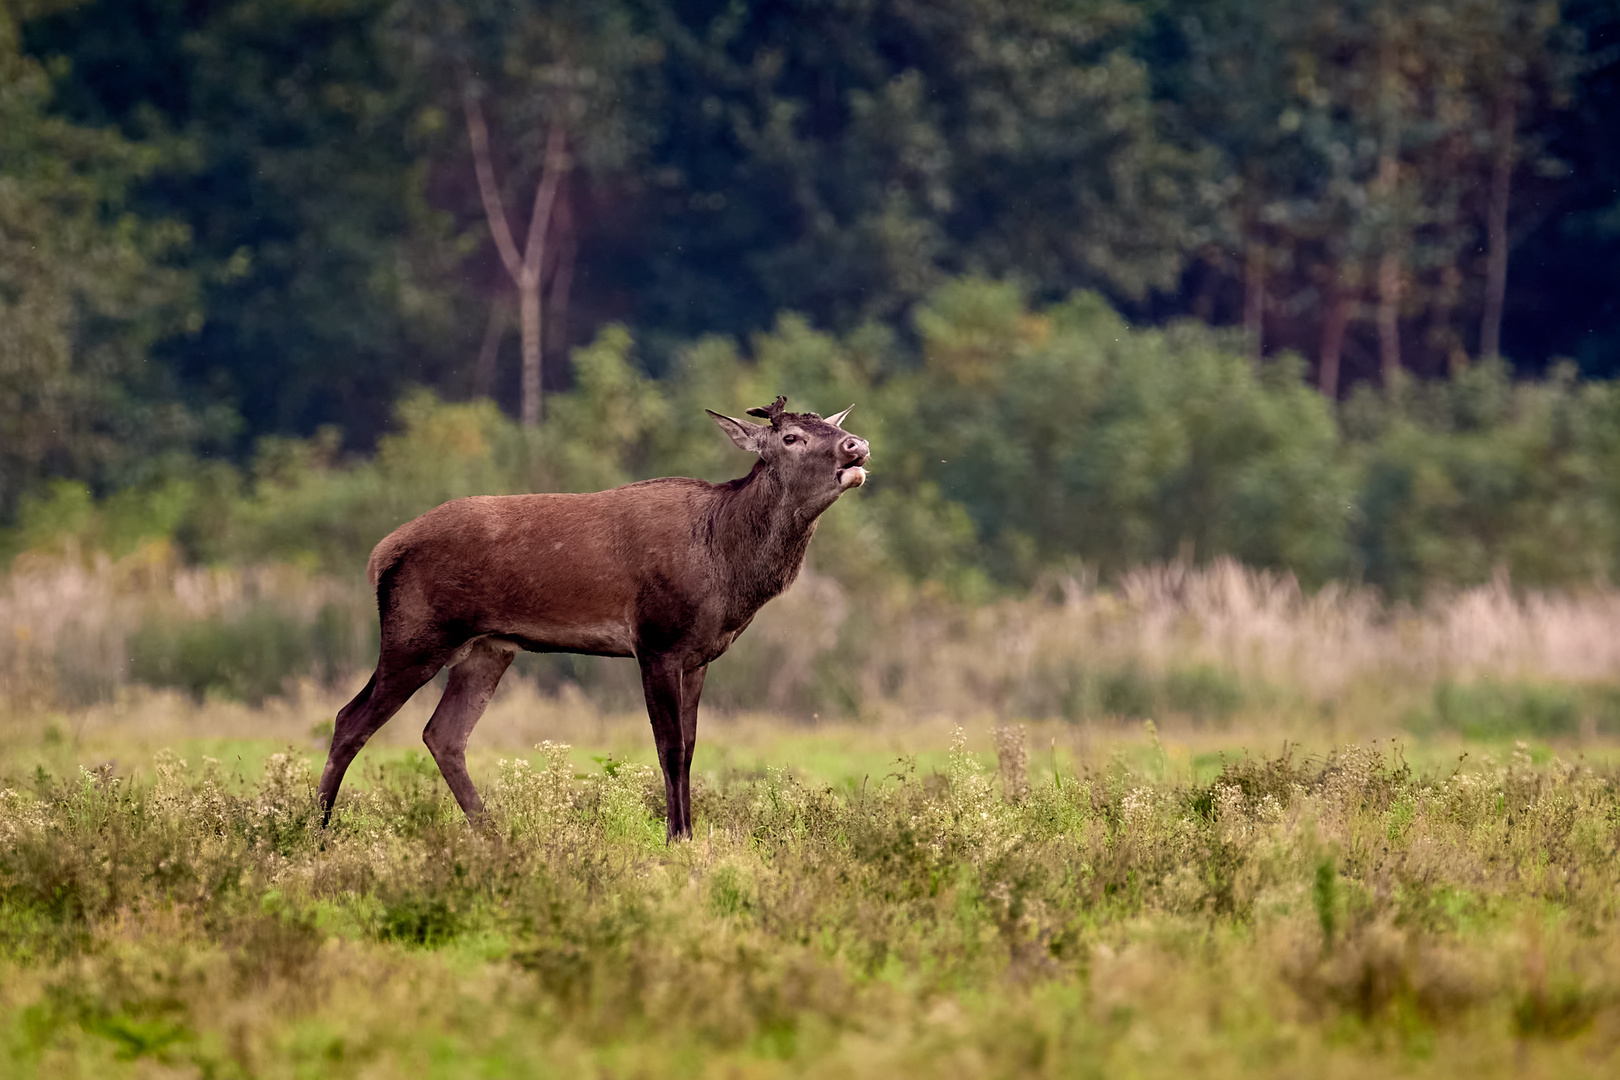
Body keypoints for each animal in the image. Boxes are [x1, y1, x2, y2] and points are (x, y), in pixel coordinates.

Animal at [319, 396, 874, 841]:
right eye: (791, 436)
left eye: (829, 424)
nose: (857, 445)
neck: (726, 566)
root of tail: (382, 553)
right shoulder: (655, 641)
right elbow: (670, 747)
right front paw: (676, 838)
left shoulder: (698, 657)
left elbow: (692, 747)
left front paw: (690, 832)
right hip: (417, 632)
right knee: (350, 719)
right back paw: (315, 829)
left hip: (487, 649)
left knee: (443, 734)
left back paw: (493, 832)